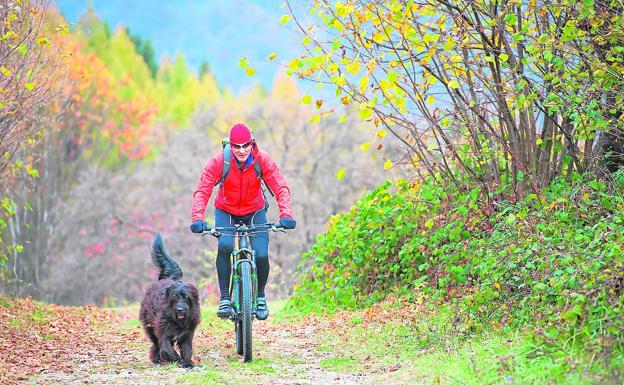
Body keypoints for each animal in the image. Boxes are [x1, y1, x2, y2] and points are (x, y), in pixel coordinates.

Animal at [140, 232, 201, 368]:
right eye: (174, 298)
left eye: (186, 298)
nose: (180, 309)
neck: (178, 321)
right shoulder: (163, 331)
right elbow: (166, 347)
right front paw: (175, 358)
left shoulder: (188, 333)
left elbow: (187, 348)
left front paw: (187, 363)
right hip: (150, 326)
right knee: (156, 344)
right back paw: (156, 359)